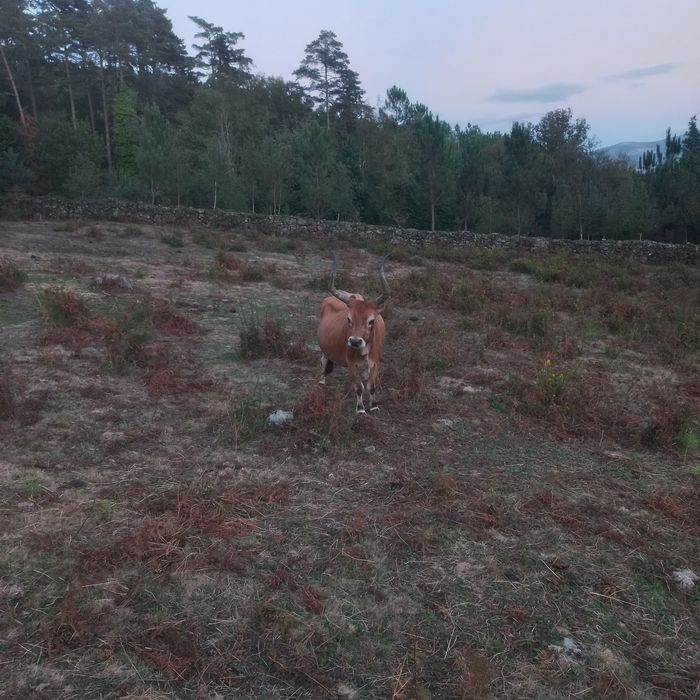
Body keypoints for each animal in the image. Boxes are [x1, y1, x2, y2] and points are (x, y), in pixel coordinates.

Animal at [317, 255, 390, 414]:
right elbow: (358, 387)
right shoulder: (351, 363)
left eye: (371, 320)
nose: (355, 342)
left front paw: (374, 405)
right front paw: (361, 408)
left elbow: (372, 385)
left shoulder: (375, 362)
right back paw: (322, 380)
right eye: (349, 319)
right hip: (325, 349)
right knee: (324, 363)